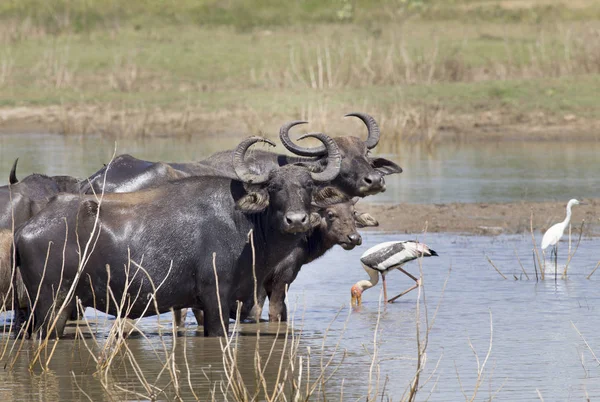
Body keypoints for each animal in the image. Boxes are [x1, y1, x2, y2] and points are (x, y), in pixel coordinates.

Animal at [14, 133, 346, 338]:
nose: (296, 220)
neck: (246, 227)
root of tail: (25, 229)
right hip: (51, 304)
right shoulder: (215, 300)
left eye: (308, 186)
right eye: (275, 188)